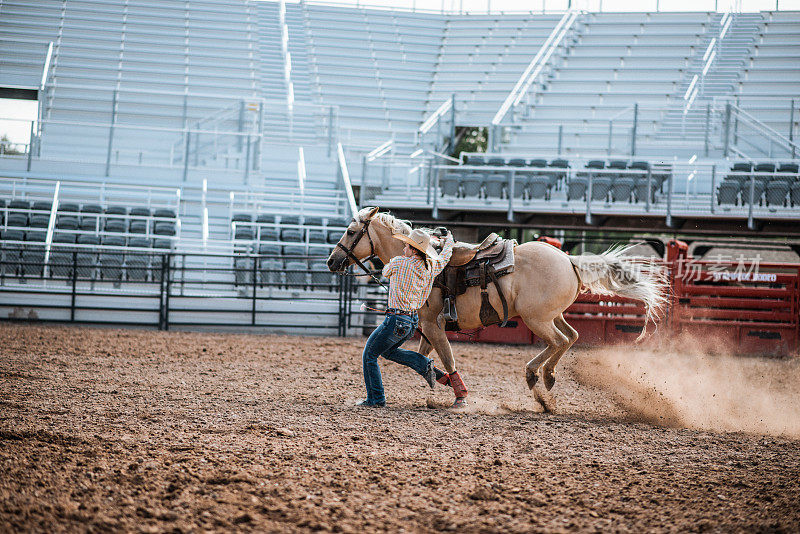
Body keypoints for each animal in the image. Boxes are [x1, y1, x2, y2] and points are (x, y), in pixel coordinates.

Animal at [324, 207, 668, 404]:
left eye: (351, 232)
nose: (332, 261)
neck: (425, 261)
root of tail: (569, 260)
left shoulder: (433, 324)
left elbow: (445, 356)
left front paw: (459, 396)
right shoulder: (427, 326)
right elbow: (422, 356)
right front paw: (436, 383)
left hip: (536, 319)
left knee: (558, 341)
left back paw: (537, 375)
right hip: (552, 315)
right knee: (571, 337)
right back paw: (545, 376)